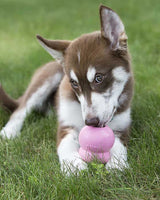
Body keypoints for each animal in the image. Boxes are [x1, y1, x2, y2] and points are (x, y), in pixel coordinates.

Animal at [0, 5, 134, 174]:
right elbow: (67, 145)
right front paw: (74, 166)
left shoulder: (121, 127)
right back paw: (10, 130)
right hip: (47, 78)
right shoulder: (66, 126)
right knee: (22, 108)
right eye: (74, 83)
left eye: (99, 78)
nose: (90, 122)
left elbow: (118, 145)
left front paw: (117, 165)